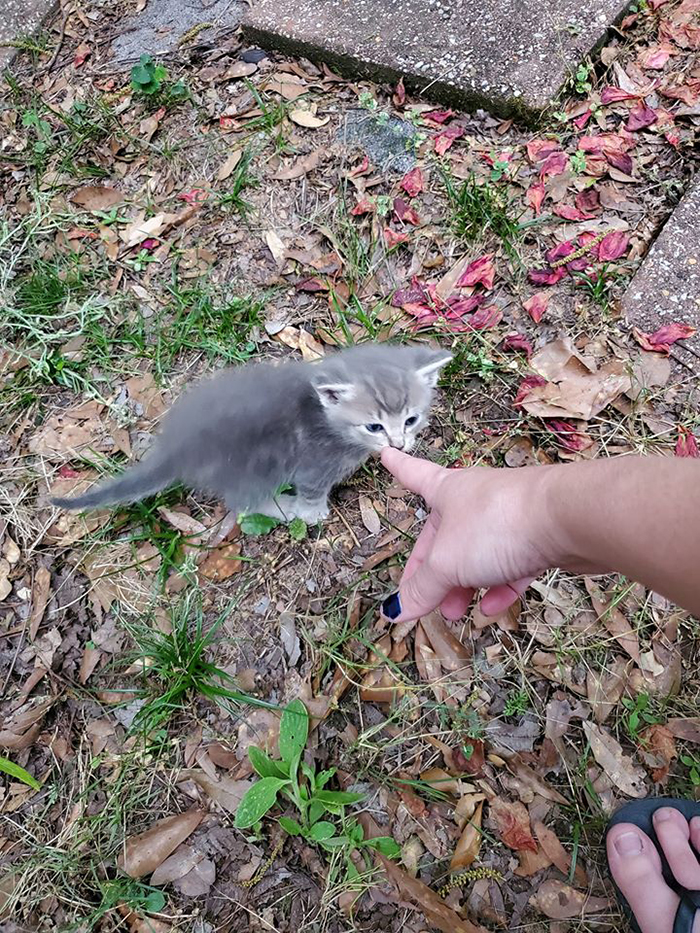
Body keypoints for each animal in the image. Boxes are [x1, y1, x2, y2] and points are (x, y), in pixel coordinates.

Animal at [50, 342, 454, 520]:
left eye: (411, 420)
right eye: (374, 426)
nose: (398, 443)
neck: (325, 417)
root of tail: (179, 448)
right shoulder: (315, 466)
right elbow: (311, 490)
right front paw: (310, 511)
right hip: (259, 469)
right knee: (245, 503)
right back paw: (285, 509)